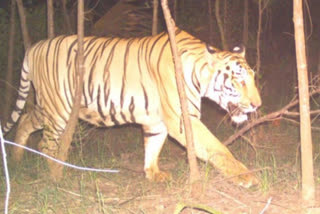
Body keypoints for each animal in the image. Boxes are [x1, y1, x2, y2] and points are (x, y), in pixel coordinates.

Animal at [3, 28, 260, 187]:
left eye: (253, 78)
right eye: (239, 80)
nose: (257, 105)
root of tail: (34, 47)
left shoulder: (157, 121)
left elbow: (153, 147)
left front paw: (153, 174)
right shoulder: (182, 119)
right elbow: (217, 148)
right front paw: (245, 176)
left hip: (48, 106)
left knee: (25, 120)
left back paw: (16, 158)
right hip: (59, 110)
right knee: (46, 144)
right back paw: (57, 173)